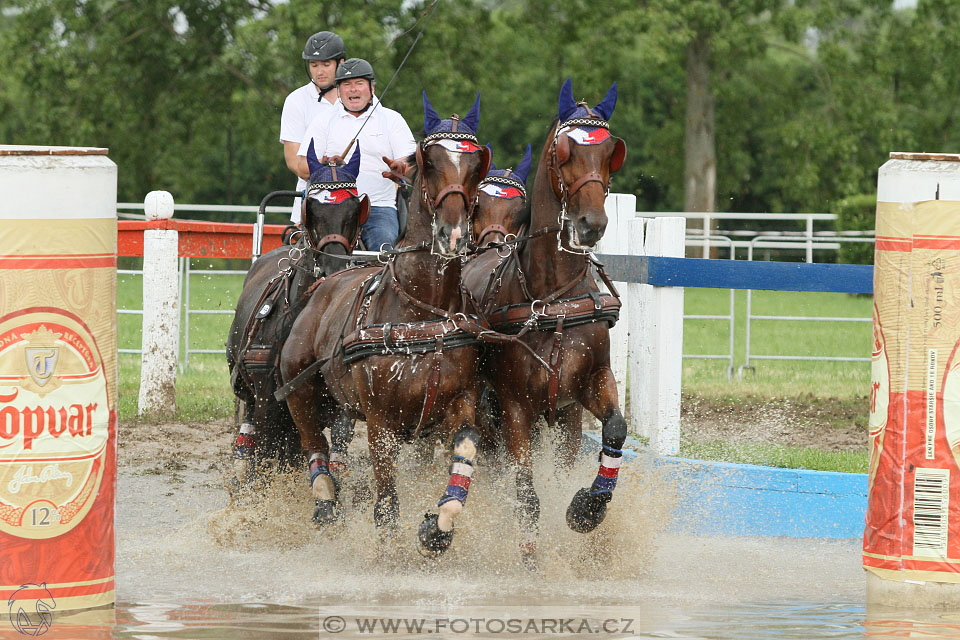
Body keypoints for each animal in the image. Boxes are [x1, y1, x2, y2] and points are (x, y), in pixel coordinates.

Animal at [225, 149, 368, 490]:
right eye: (311, 208)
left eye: (354, 209)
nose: (333, 267)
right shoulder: (268, 400)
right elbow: (265, 453)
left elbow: (334, 440)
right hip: (251, 394)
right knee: (255, 439)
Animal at [276, 92, 488, 556]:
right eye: (429, 161)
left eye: (475, 164)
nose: (453, 233)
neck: (423, 314)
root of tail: (326, 279)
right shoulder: (380, 421)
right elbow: (387, 499)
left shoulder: (460, 403)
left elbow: (463, 458)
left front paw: (438, 527)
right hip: (298, 388)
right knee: (314, 447)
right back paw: (325, 504)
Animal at [464, 79, 632, 564]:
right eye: (564, 151)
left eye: (611, 151)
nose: (591, 223)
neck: (551, 298)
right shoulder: (514, 406)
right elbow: (525, 492)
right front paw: (528, 554)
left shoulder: (589, 384)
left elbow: (615, 428)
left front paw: (588, 509)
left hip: (563, 419)